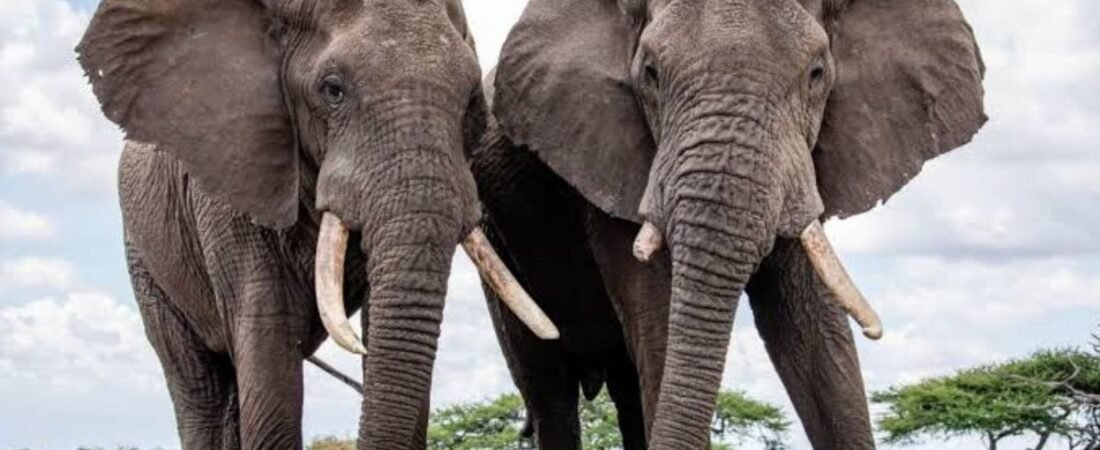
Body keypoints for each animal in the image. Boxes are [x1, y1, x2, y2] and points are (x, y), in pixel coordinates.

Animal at [76, 0, 558, 448]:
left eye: (473, 101)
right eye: (333, 90)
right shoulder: (231, 185)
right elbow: (269, 341)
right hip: (146, 261)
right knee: (200, 391)